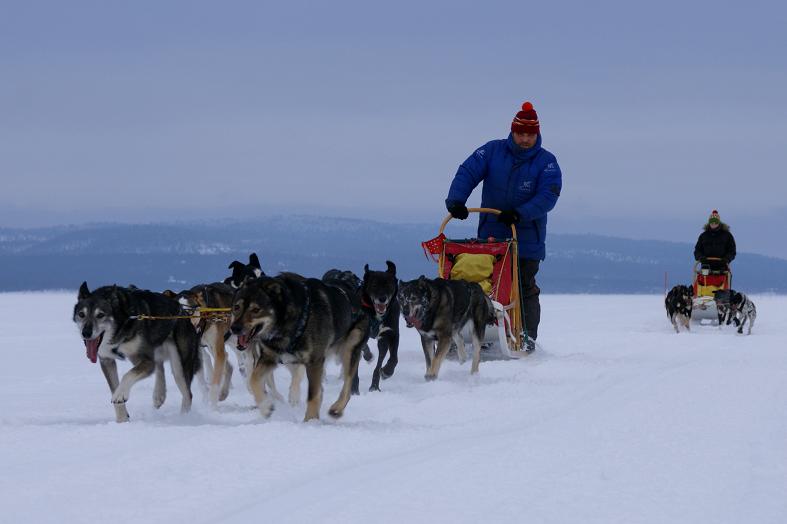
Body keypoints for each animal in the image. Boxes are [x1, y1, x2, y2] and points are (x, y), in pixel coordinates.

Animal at [73, 282, 200, 422]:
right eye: (81, 314)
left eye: (100, 315)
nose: (86, 333)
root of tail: (183, 310)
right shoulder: (107, 360)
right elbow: (114, 387)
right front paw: (122, 420)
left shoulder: (145, 360)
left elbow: (127, 376)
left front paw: (120, 393)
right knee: (159, 366)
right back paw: (159, 395)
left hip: (179, 366)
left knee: (187, 394)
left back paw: (184, 418)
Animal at [229, 274, 368, 422]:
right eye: (236, 307)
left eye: (256, 310)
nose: (235, 328)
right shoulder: (269, 357)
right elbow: (253, 380)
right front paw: (266, 407)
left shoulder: (314, 361)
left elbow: (313, 395)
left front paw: (310, 421)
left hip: (350, 349)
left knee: (347, 385)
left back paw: (337, 408)